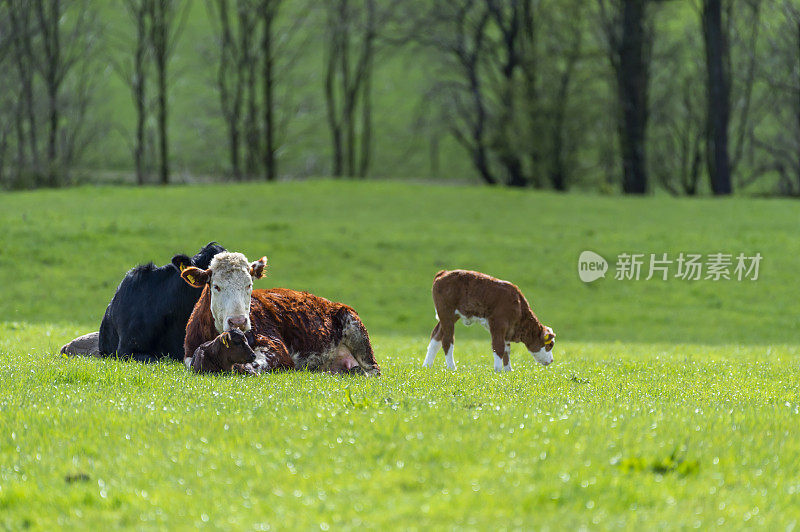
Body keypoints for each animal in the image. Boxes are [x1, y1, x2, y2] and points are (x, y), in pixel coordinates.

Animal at [182, 252, 382, 374]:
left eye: (249, 285)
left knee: (373, 370)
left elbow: (258, 362)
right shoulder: (189, 353)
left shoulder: (277, 348)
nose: (238, 321)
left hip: (357, 332)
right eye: (216, 286)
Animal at [424, 270, 556, 370]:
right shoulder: (498, 324)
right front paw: (498, 370)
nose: (552, 360)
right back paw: (452, 368)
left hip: (449, 316)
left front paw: (508, 370)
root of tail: (444, 273)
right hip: (447, 313)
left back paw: (427, 366)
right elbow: (499, 347)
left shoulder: (508, 330)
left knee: (436, 337)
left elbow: (507, 350)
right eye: (550, 345)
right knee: (447, 340)